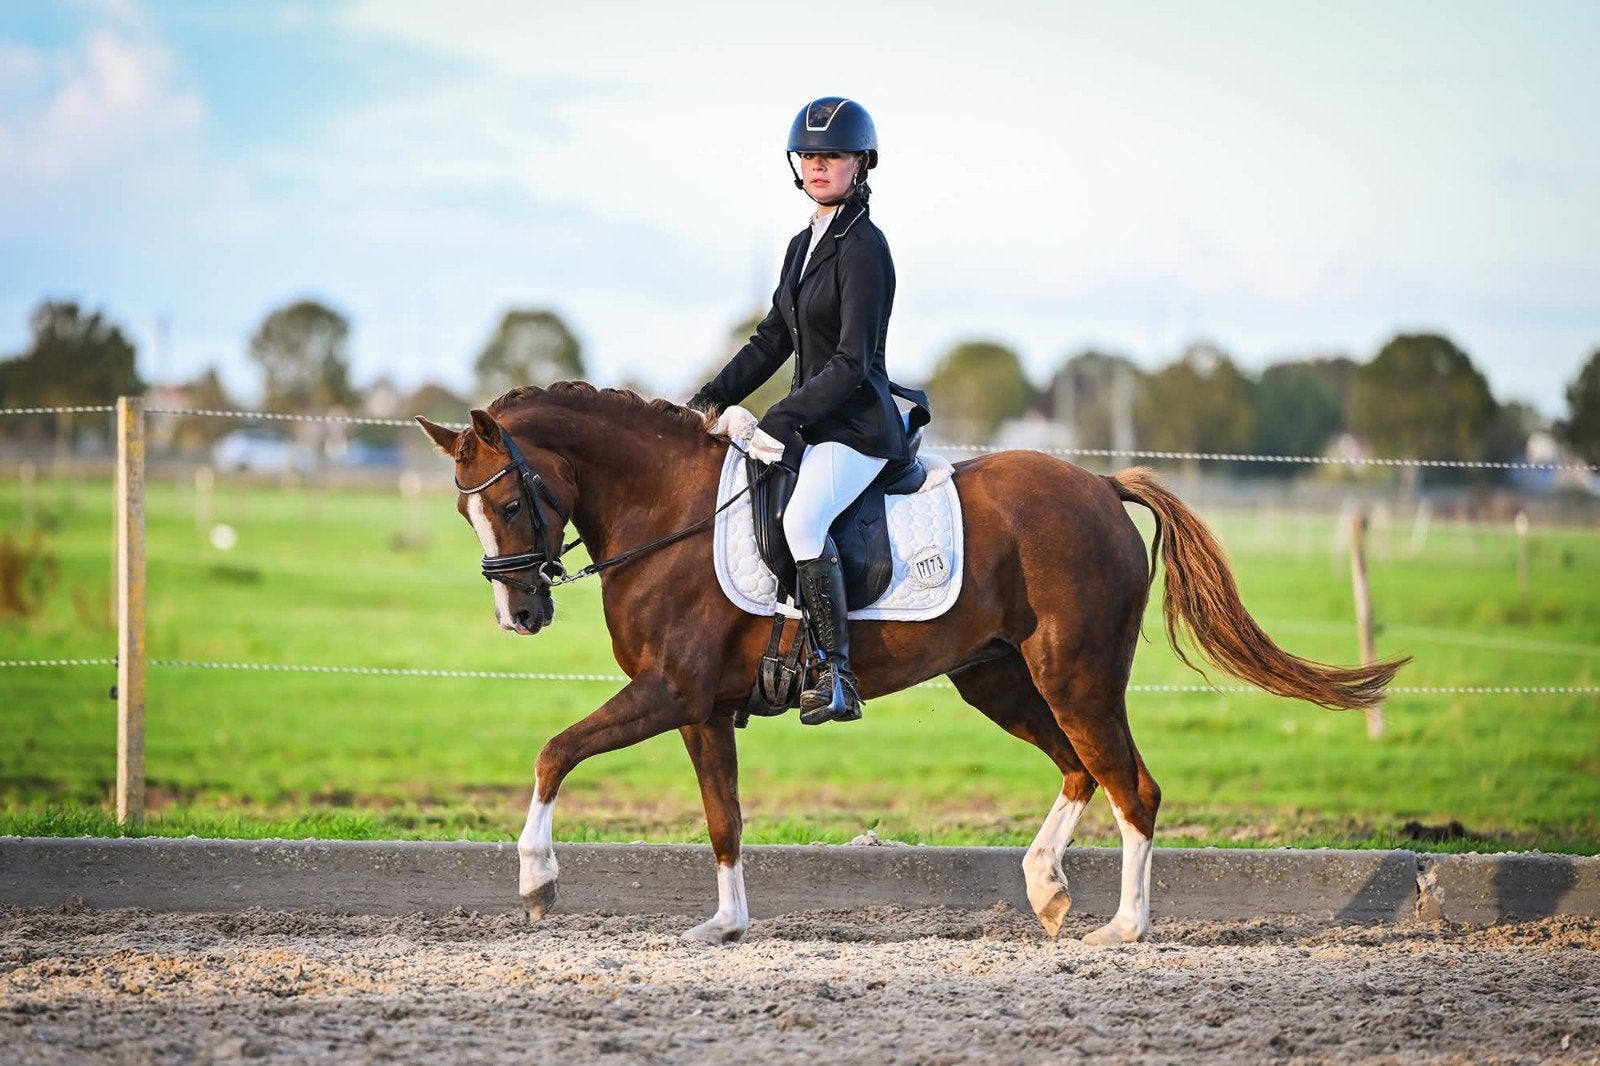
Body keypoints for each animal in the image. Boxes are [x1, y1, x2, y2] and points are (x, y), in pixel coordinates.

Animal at [416, 381, 1405, 946]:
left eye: (509, 499)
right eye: (466, 510)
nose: (520, 615)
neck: (672, 513)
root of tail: (1098, 483)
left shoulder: (669, 691)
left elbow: (554, 750)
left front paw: (537, 883)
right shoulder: (700, 708)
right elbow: (722, 818)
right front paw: (725, 925)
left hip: (1075, 676)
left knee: (1133, 785)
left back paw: (1124, 928)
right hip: (997, 677)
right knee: (1082, 769)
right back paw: (1047, 892)